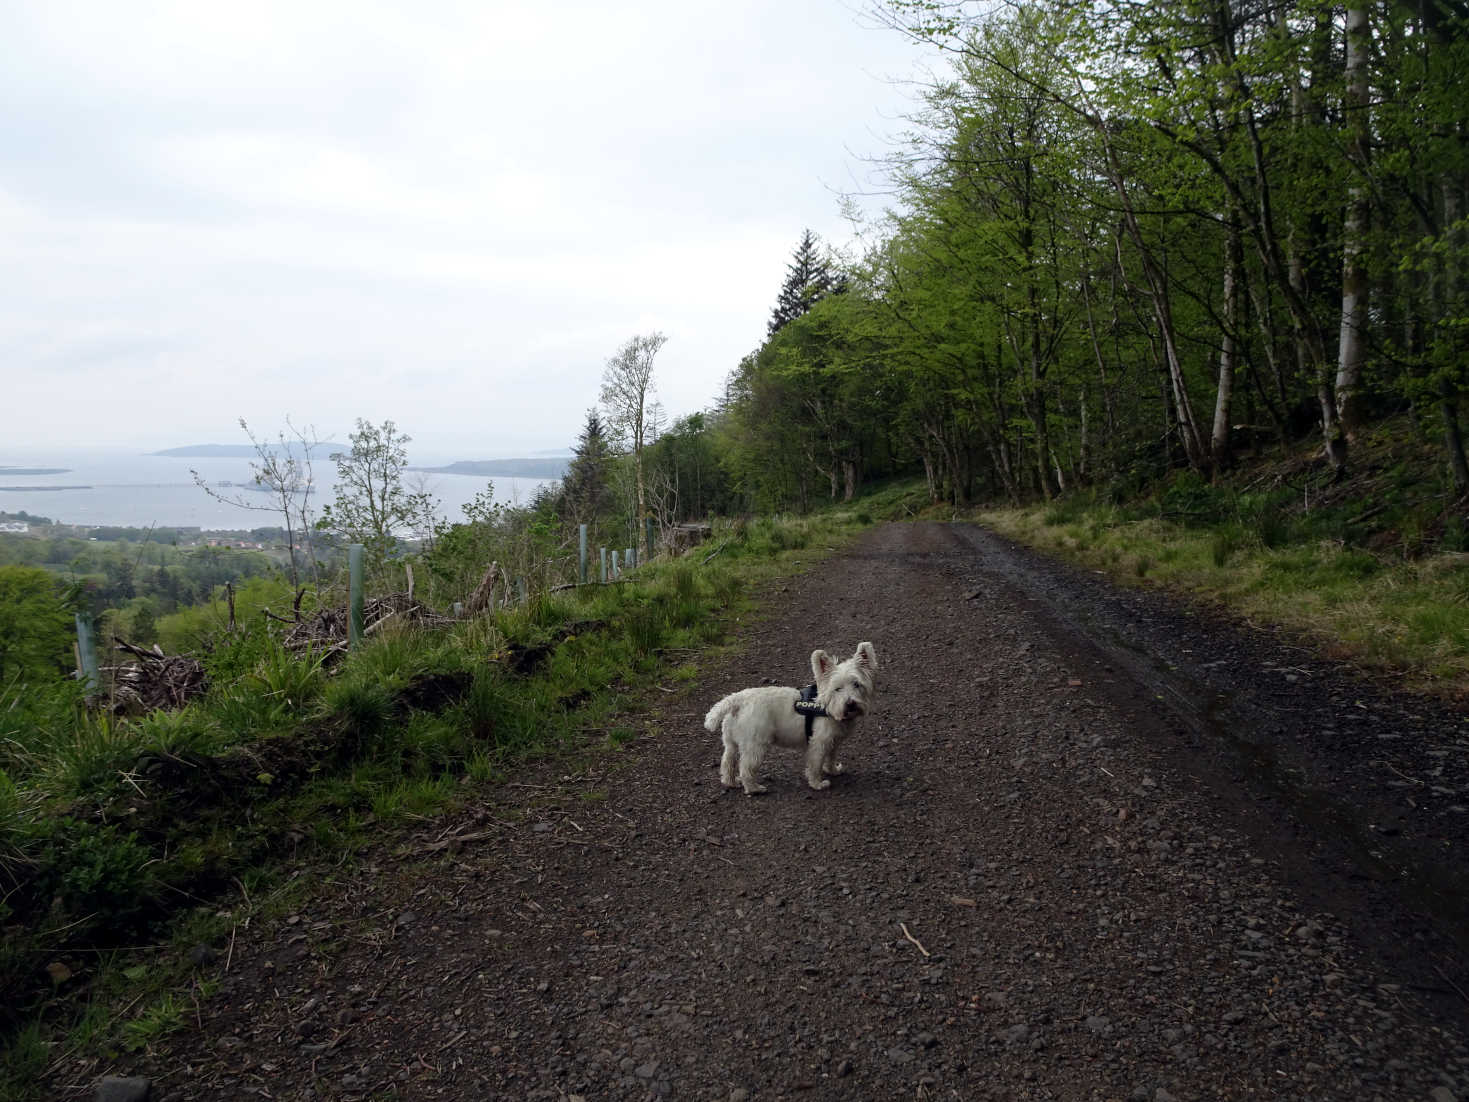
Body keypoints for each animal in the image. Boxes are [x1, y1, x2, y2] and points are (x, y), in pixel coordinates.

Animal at [705, 643, 875, 799]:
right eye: (837, 689)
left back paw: (731, 782)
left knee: (727, 762)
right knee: (746, 768)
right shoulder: (819, 743)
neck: (827, 706)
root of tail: (738, 699)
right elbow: (815, 765)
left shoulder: (833, 742)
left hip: (731, 742)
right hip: (756, 745)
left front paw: (833, 770)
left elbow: (830, 758)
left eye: (857, 684)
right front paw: (817, 784)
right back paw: (755, 789)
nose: (850, 704)